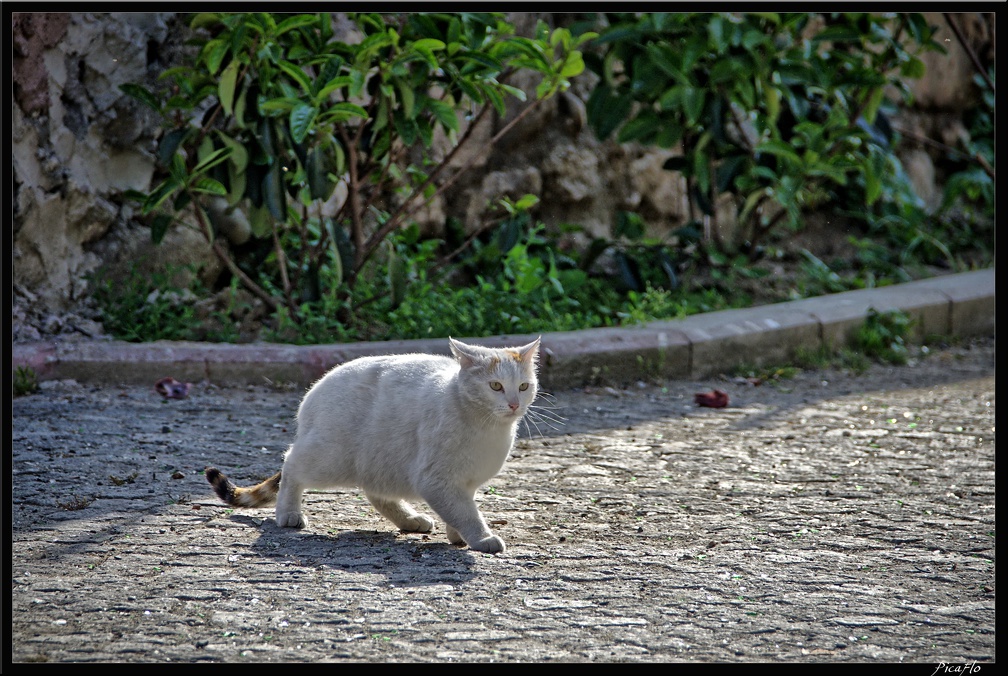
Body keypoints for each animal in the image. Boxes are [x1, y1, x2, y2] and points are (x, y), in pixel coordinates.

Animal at [202, 338, 544, 556]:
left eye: (524, 386)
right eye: (495, 386)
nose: (514, 404)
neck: (486, 427)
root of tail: (314, 390)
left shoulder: (461, 483)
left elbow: (459, 509)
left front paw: (456, 535)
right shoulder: (437, 479)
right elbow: (466, 512)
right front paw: (481, 537)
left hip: (382, 460)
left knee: (375, 492)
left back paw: (410, 520)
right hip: (331, 457)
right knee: (291, 465)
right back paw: (288, 513)